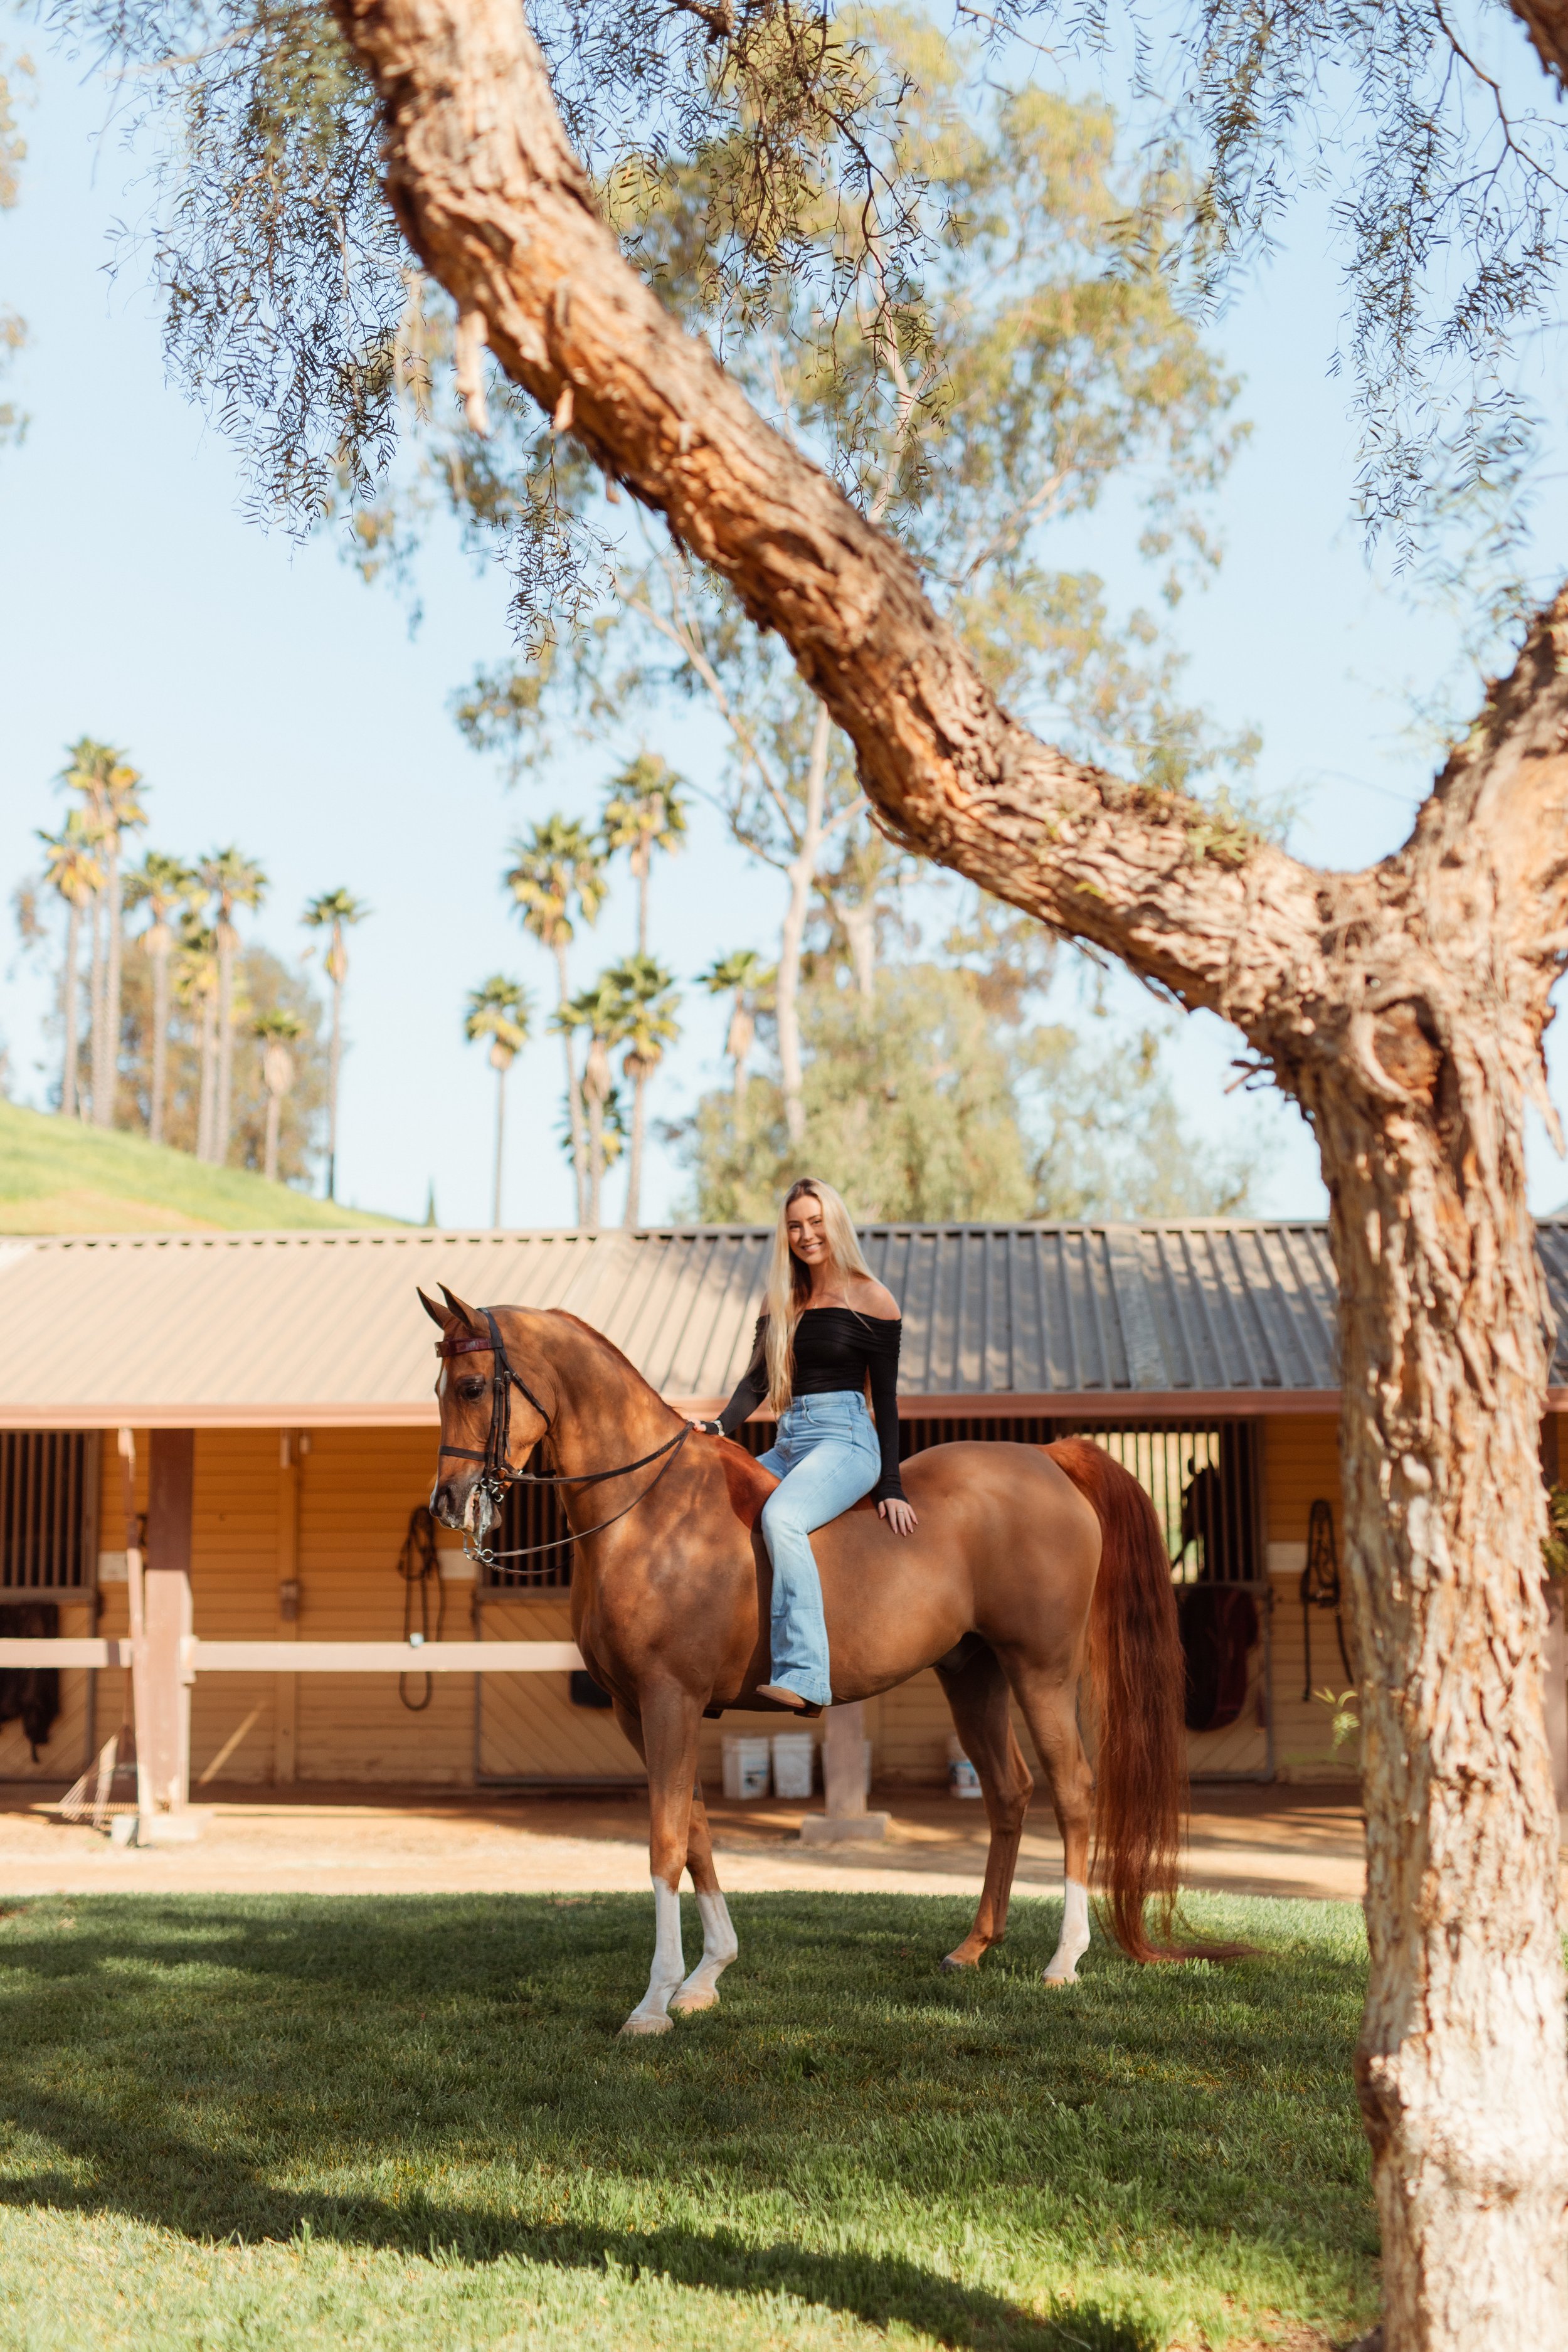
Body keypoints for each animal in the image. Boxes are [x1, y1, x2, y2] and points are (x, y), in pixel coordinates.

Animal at [421, 1286, 1195, 2036]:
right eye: (439, 1386)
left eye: (471, 1386)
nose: (448, 1503)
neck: (651, 1512)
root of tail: (1049, 1458)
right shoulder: (635, 1710)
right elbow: (697, 1831)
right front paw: (707, 1977)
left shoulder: (670, 1700)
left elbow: (666, 1841)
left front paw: (655, 2002)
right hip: (971, 1675)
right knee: (1009, 1792)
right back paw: (973, 1948)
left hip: (1041, 1673)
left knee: (1073, 1793)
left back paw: (1065, 1959)